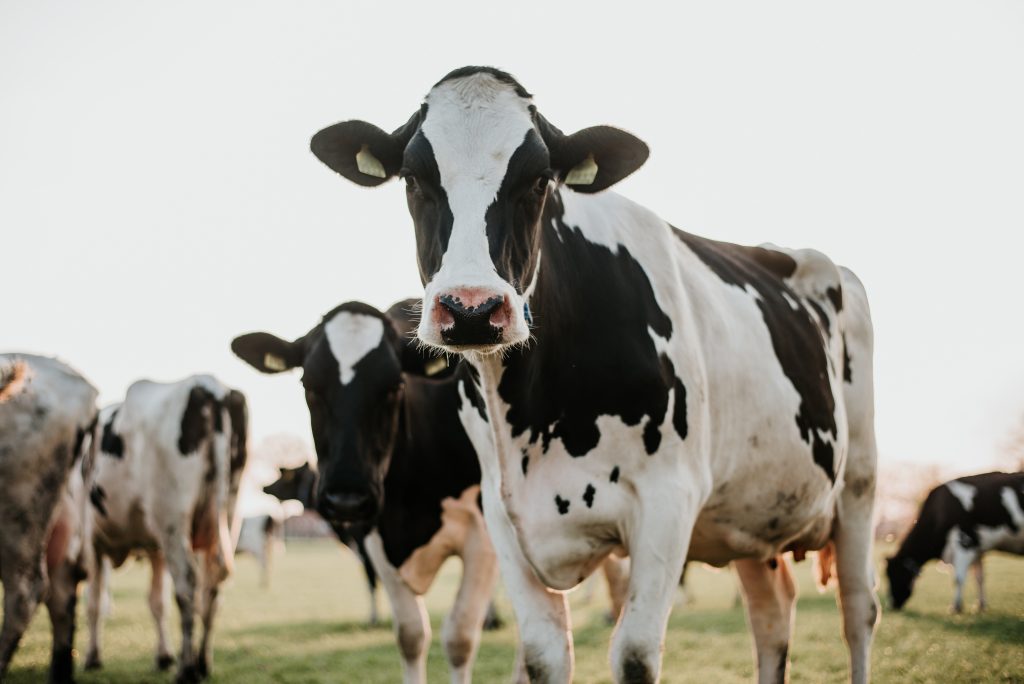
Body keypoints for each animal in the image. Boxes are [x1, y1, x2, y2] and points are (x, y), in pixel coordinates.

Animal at [80, 376, 246, 679]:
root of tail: (207, 385)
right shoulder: (155, 549)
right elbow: (158, 603)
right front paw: (163, 656)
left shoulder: (90, 539)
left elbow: (94, 602)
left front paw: (92, 657)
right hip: (227, 511)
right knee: (212, 585)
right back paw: (202, 662)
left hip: (172, 518)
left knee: (188, 583)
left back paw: (187, 669)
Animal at [233, 301, 503, 684]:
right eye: (308, 385)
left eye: (394, 386)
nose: (346, 499)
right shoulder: (377, 539)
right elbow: (411, 636)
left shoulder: (483, 539)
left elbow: (460, 637)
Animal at [307, 65, 876, 684]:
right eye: (413, 177)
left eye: (539, 181)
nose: (472, 310)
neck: (534, 414)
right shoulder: (503, 520)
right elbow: (542, 655)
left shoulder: (668, 502)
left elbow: (634, 655)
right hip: (751, 517)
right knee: (772, 616)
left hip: (859, 489)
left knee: (857, 612)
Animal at [888, 473, 1024, 610]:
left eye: (895, 574)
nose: (892, 605)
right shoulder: (977, 548)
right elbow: (979, 578)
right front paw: (980, 605)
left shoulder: (965, 542)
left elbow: (958, 578)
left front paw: (956, 607)